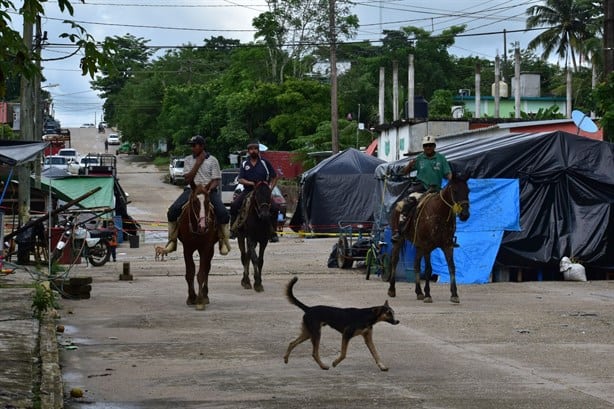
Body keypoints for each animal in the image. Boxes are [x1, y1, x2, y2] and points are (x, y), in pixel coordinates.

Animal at [178, 182, 219, 310]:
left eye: (208, 201)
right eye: (195, 201)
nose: (203, 226)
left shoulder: (205, 248)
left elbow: (201, 273)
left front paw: (200, 300)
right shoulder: (187, 248)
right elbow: (190, 272)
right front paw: (191, 297)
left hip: (210, 249)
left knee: (207, 268)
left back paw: (205, 295)